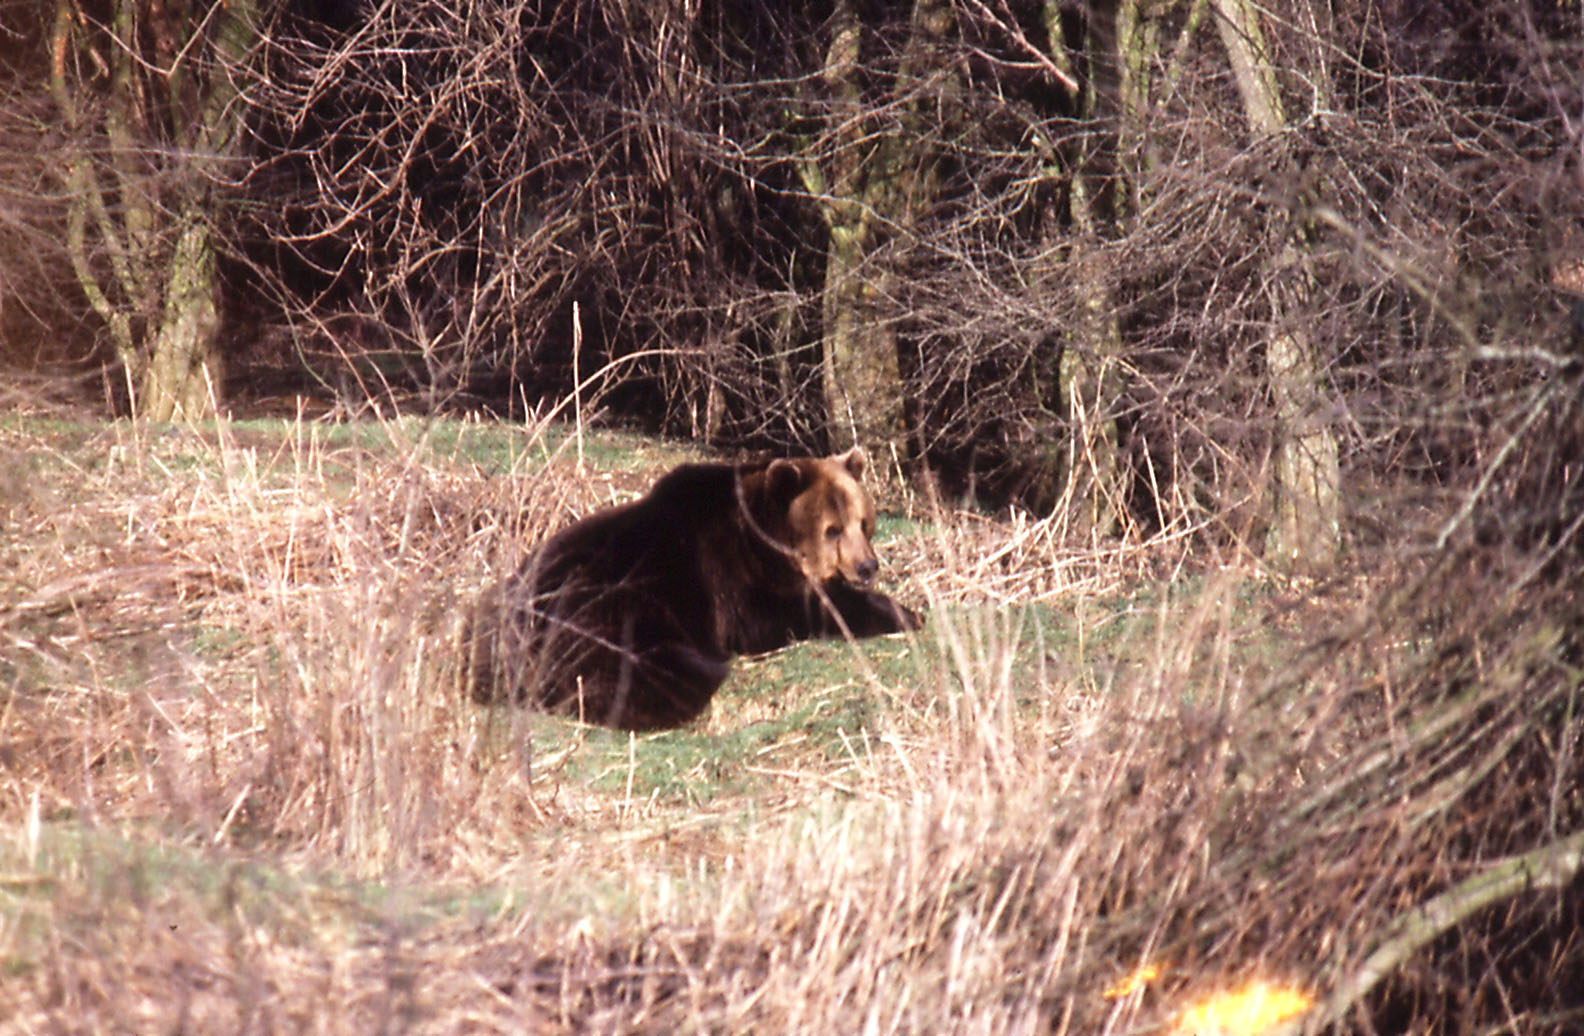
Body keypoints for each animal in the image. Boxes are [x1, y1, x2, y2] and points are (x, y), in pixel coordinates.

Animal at [466, 447, 924, 731]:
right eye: (832, 529)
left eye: (863, 522)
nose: (867, 566)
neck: (761, 533)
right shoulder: (726, 571)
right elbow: (785, 611)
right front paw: (903, 611)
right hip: (615, 619)